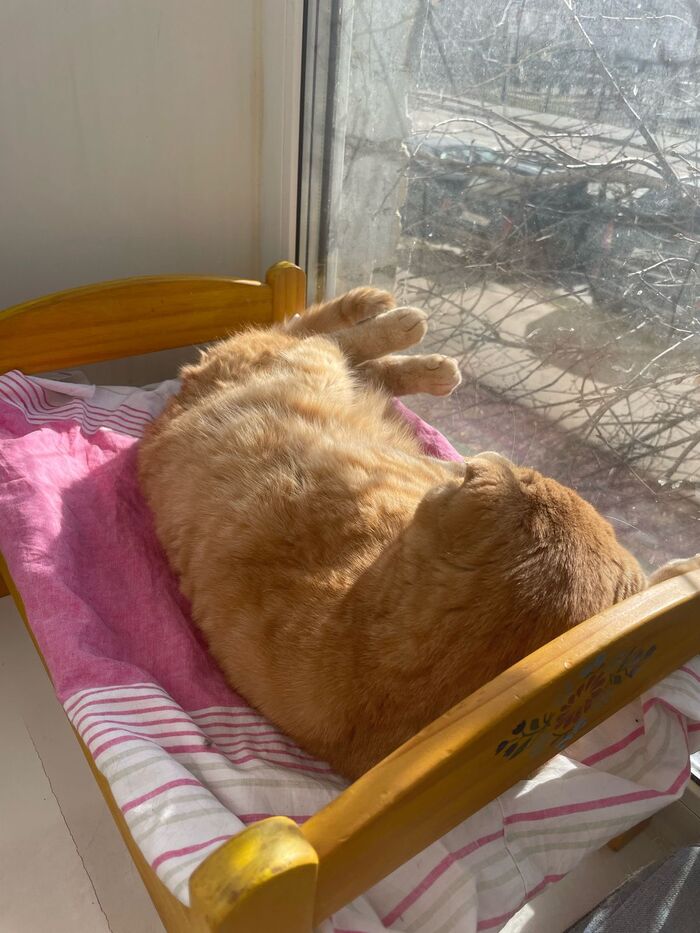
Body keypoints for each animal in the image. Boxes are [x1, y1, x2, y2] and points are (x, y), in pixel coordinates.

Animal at [138, 288, 697, 779]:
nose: (503, 466)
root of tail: (171, 402)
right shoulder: (421, 472)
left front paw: (681, 570)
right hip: (311, 367)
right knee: (325, 339)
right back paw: (403, 326)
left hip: (319, 373)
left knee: (337, 351)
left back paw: (410, 346)